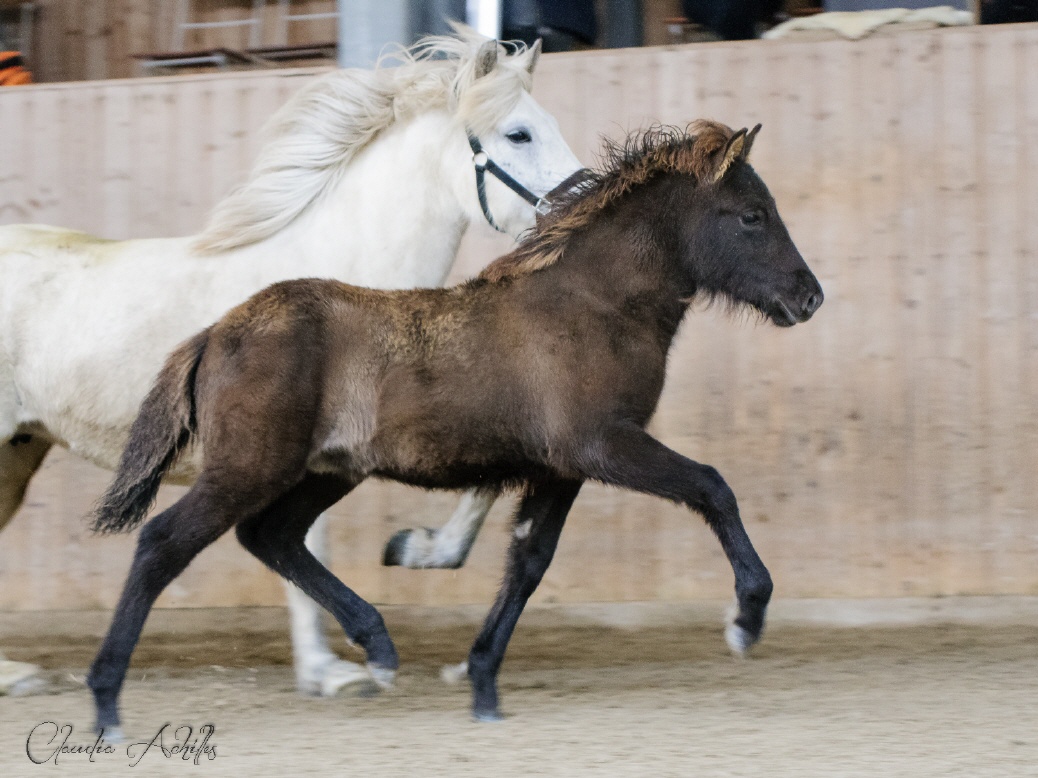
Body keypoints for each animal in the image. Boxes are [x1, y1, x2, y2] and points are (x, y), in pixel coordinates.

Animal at [0, 32, 585, 701]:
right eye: (519, 134)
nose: (585, 198)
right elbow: (300, 543)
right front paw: (333, 669)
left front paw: (417, 554)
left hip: (18, 452)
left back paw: (15, 674)